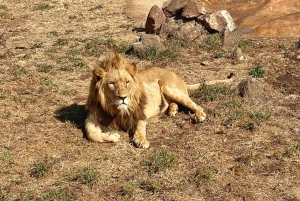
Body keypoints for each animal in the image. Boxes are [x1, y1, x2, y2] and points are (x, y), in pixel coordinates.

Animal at [84, 51, 232, 148]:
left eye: (127, 82)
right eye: (112, 83)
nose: (123, 98)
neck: (117, 111)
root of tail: (176, 75)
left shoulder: (139, 112)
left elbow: (140, 126)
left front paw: (141, 140)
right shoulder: (94, 115)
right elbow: (91, 133)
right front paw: (113, 136)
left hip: (167, 86)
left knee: (194, 104)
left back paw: (199, 115)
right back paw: (172, 110)